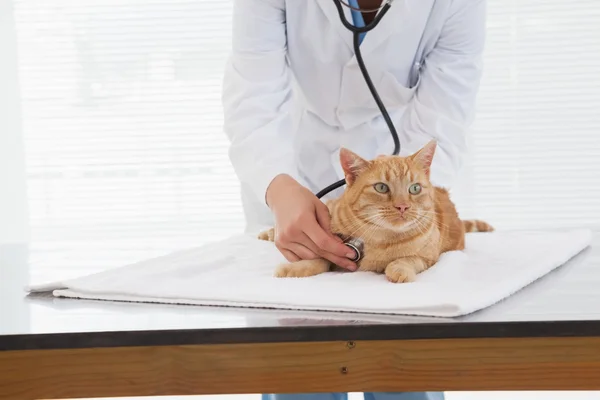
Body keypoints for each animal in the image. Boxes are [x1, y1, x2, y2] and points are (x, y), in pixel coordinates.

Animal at [258, 140, 492, 282]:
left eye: (414, 188)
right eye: (381, 187)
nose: (402, 206)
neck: (380, 238)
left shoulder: (429, 257)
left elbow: (407, 259)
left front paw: (399, 269)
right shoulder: (331, 243)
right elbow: (319, 258)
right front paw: (295, 268)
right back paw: (268, 233)